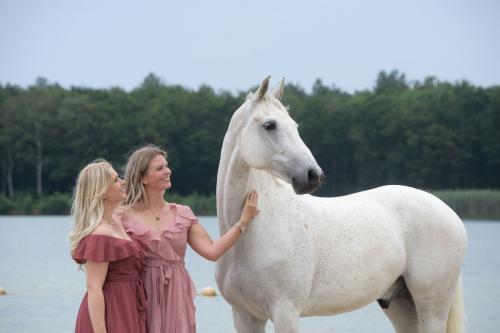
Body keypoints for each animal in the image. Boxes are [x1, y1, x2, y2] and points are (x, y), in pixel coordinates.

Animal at [216, 76, 468, 332]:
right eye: (270, 125)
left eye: (294, 126)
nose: (313, 175)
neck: (253, 231)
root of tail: (451, 214)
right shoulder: (246, 315)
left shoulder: (286, 312)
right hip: (401, 305)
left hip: (431, 307)